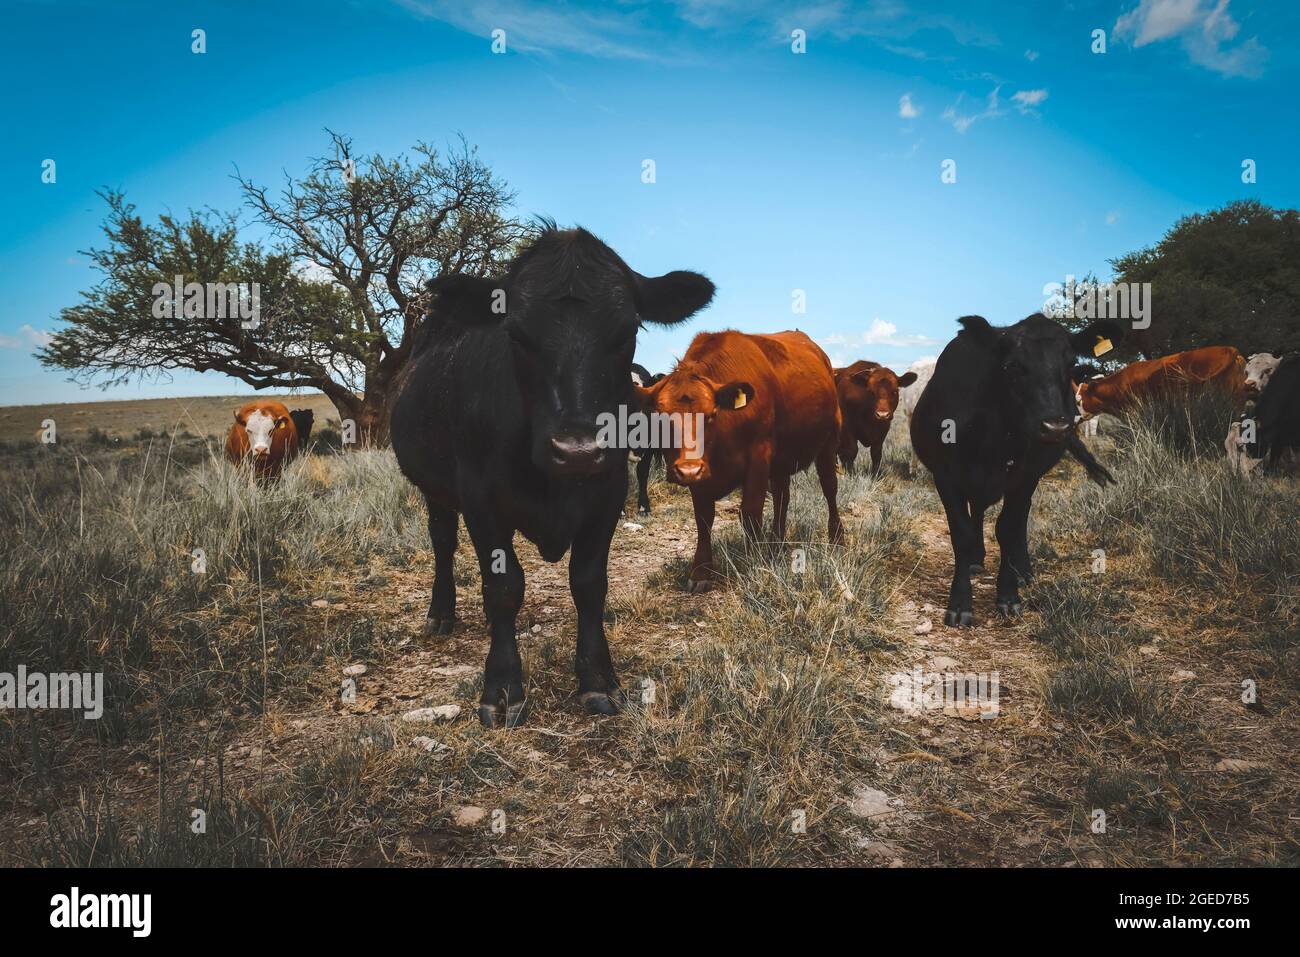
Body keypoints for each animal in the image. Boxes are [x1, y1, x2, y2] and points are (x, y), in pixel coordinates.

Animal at [390, 225, 714, 727]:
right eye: (516, 334)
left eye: (626, 332)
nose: (577, 450)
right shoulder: (480, 501)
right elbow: (504, 586)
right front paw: (503, 687)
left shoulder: (608, 494)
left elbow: (589, 584)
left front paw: (598, 679)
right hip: (434, 489)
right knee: (442, 540)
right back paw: (441, 613)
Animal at [635, 329, 843, 592]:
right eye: (660, 418)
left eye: (711, 415)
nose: (687, 470)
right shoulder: (702, 474)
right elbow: (703, 519)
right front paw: (701, 571)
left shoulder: (758, 458)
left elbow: (750, 514)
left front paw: (755, 562)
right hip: (781, 463)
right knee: (782, 497)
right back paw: (777, 543)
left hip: (829, 443)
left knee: (829, 488)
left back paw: (836, 538)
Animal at [911, 314, 1123, 627]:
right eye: (1012, 366)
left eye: (1071, 363)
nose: (1055, 426)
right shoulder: (946, 475)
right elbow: (961, 533)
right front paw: (960, 603)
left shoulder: (1024, 476)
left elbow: (1008, 529)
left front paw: (1009, 595)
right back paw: (976, 558)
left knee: (1019, 517)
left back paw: (1022, 570)